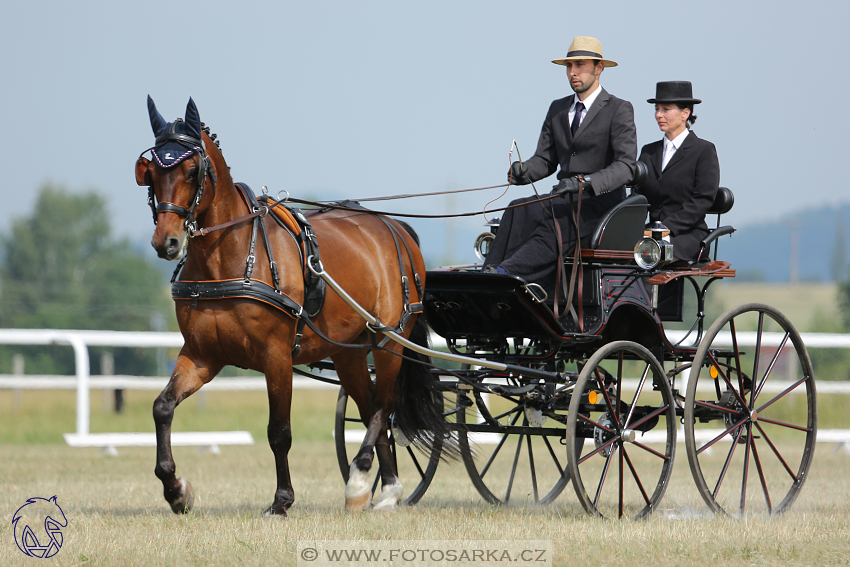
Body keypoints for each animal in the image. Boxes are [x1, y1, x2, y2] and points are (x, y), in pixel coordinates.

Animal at [134, 98, 450, 520]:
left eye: (191, 170)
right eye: (149, 172)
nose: (165, 242)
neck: (231, 256)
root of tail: (394, 227)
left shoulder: (276, 357)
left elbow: (278, 432)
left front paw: (281, 501)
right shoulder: (203, 355)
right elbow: (162, 407)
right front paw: (176, 490)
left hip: (389, 341)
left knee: (385, 405)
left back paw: (361, 479)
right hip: (349, 353)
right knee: (371, 409)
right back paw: (385, 491)